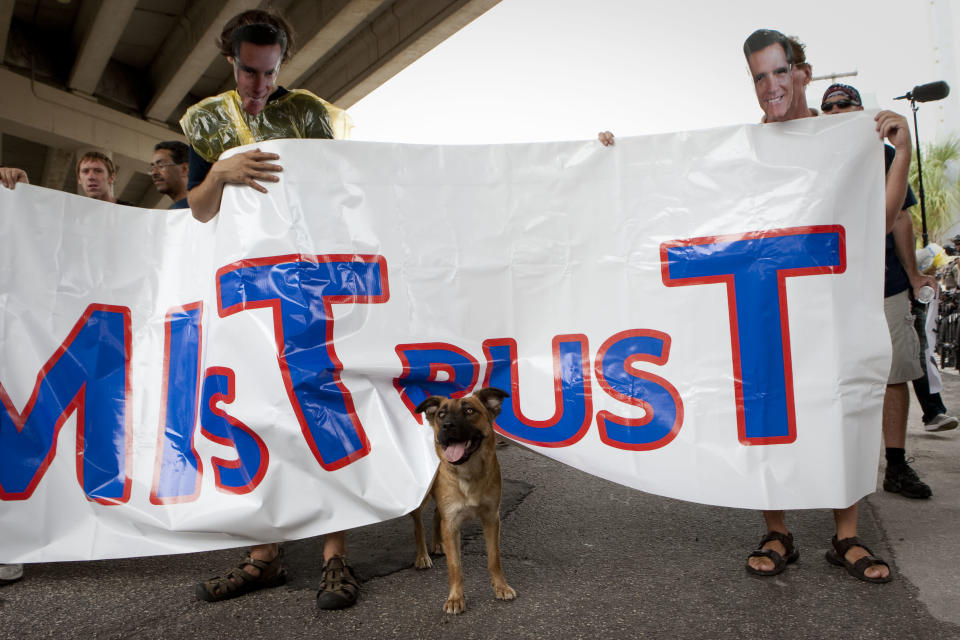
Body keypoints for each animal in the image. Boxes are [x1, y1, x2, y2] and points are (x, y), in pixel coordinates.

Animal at [412, 388, 516, 612]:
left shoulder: (491, 518)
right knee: (418, 524)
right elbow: (455, 565)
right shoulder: (451, 523)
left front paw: (501, 586)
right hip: (421, 499)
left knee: (436, 515)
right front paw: (455, 598)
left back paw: (437, 543)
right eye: (441, 414)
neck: (469, 472)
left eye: (469, 411)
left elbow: (494, 558)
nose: (446, 425)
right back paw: (422, 555)